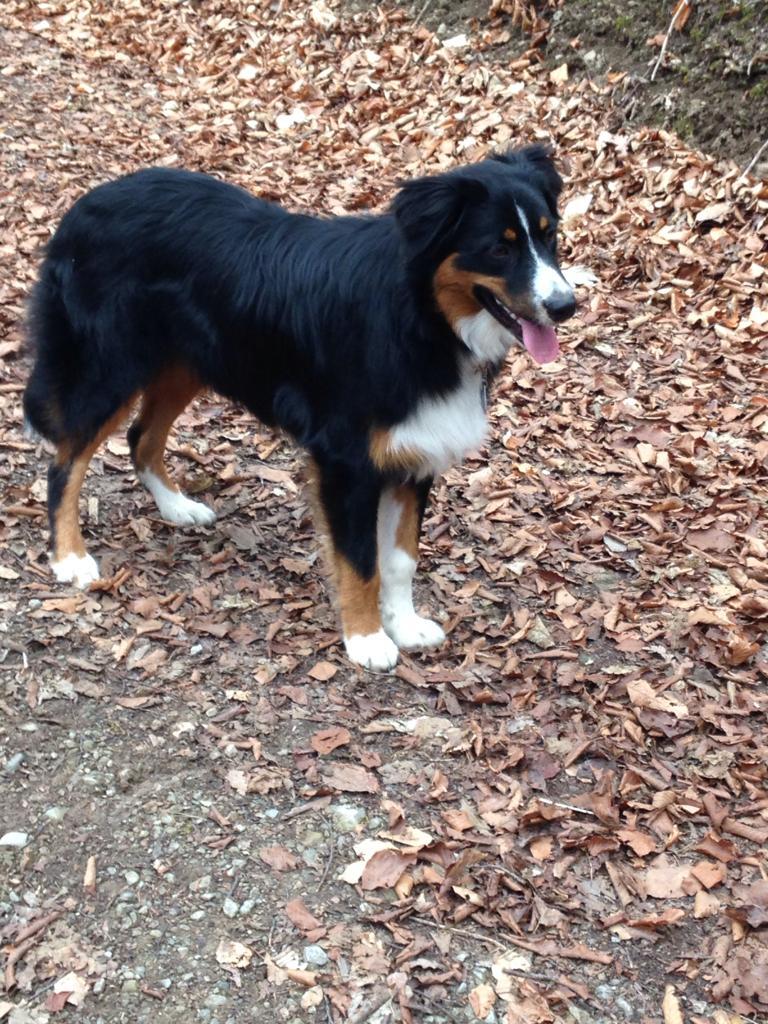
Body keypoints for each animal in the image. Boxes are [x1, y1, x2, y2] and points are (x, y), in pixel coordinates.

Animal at [24, 146, 589, 671]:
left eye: (549, 237)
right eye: (498, 248)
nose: (566, 306)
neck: (422, 318)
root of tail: (85, 205)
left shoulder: (416, 451)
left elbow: (401, 557)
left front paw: (403, 624)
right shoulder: (346, 462)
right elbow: (361, 561)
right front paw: (366, 639)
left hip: (187, 363)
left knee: (141, 437)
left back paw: (176, 507)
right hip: (110, 368)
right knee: (65, 463)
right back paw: (70, 558)